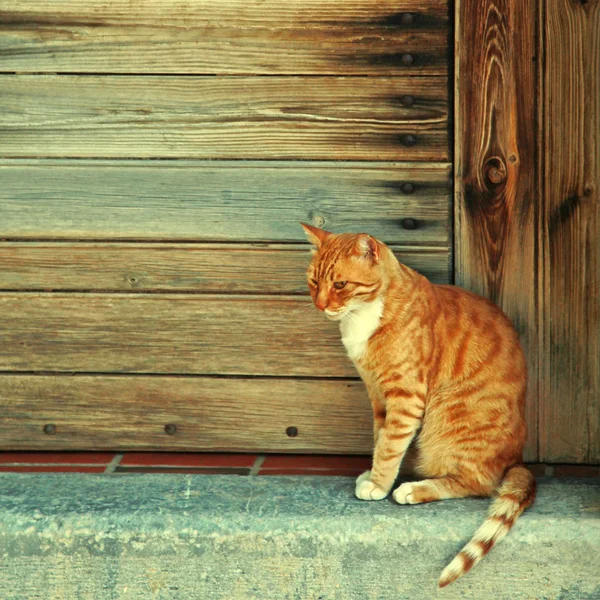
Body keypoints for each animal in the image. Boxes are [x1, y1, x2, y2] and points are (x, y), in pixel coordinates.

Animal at [302, 224, 536, 584]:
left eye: (340, 284)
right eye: (314, 282)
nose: (320, 304)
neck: (365, 314)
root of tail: (518, 459)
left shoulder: (405, 396)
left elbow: (389, 445)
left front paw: (378, 484)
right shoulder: (377, 396)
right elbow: (380, 438)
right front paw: (374, 474)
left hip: (449, 424)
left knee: (478, 484)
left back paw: (414, 489)